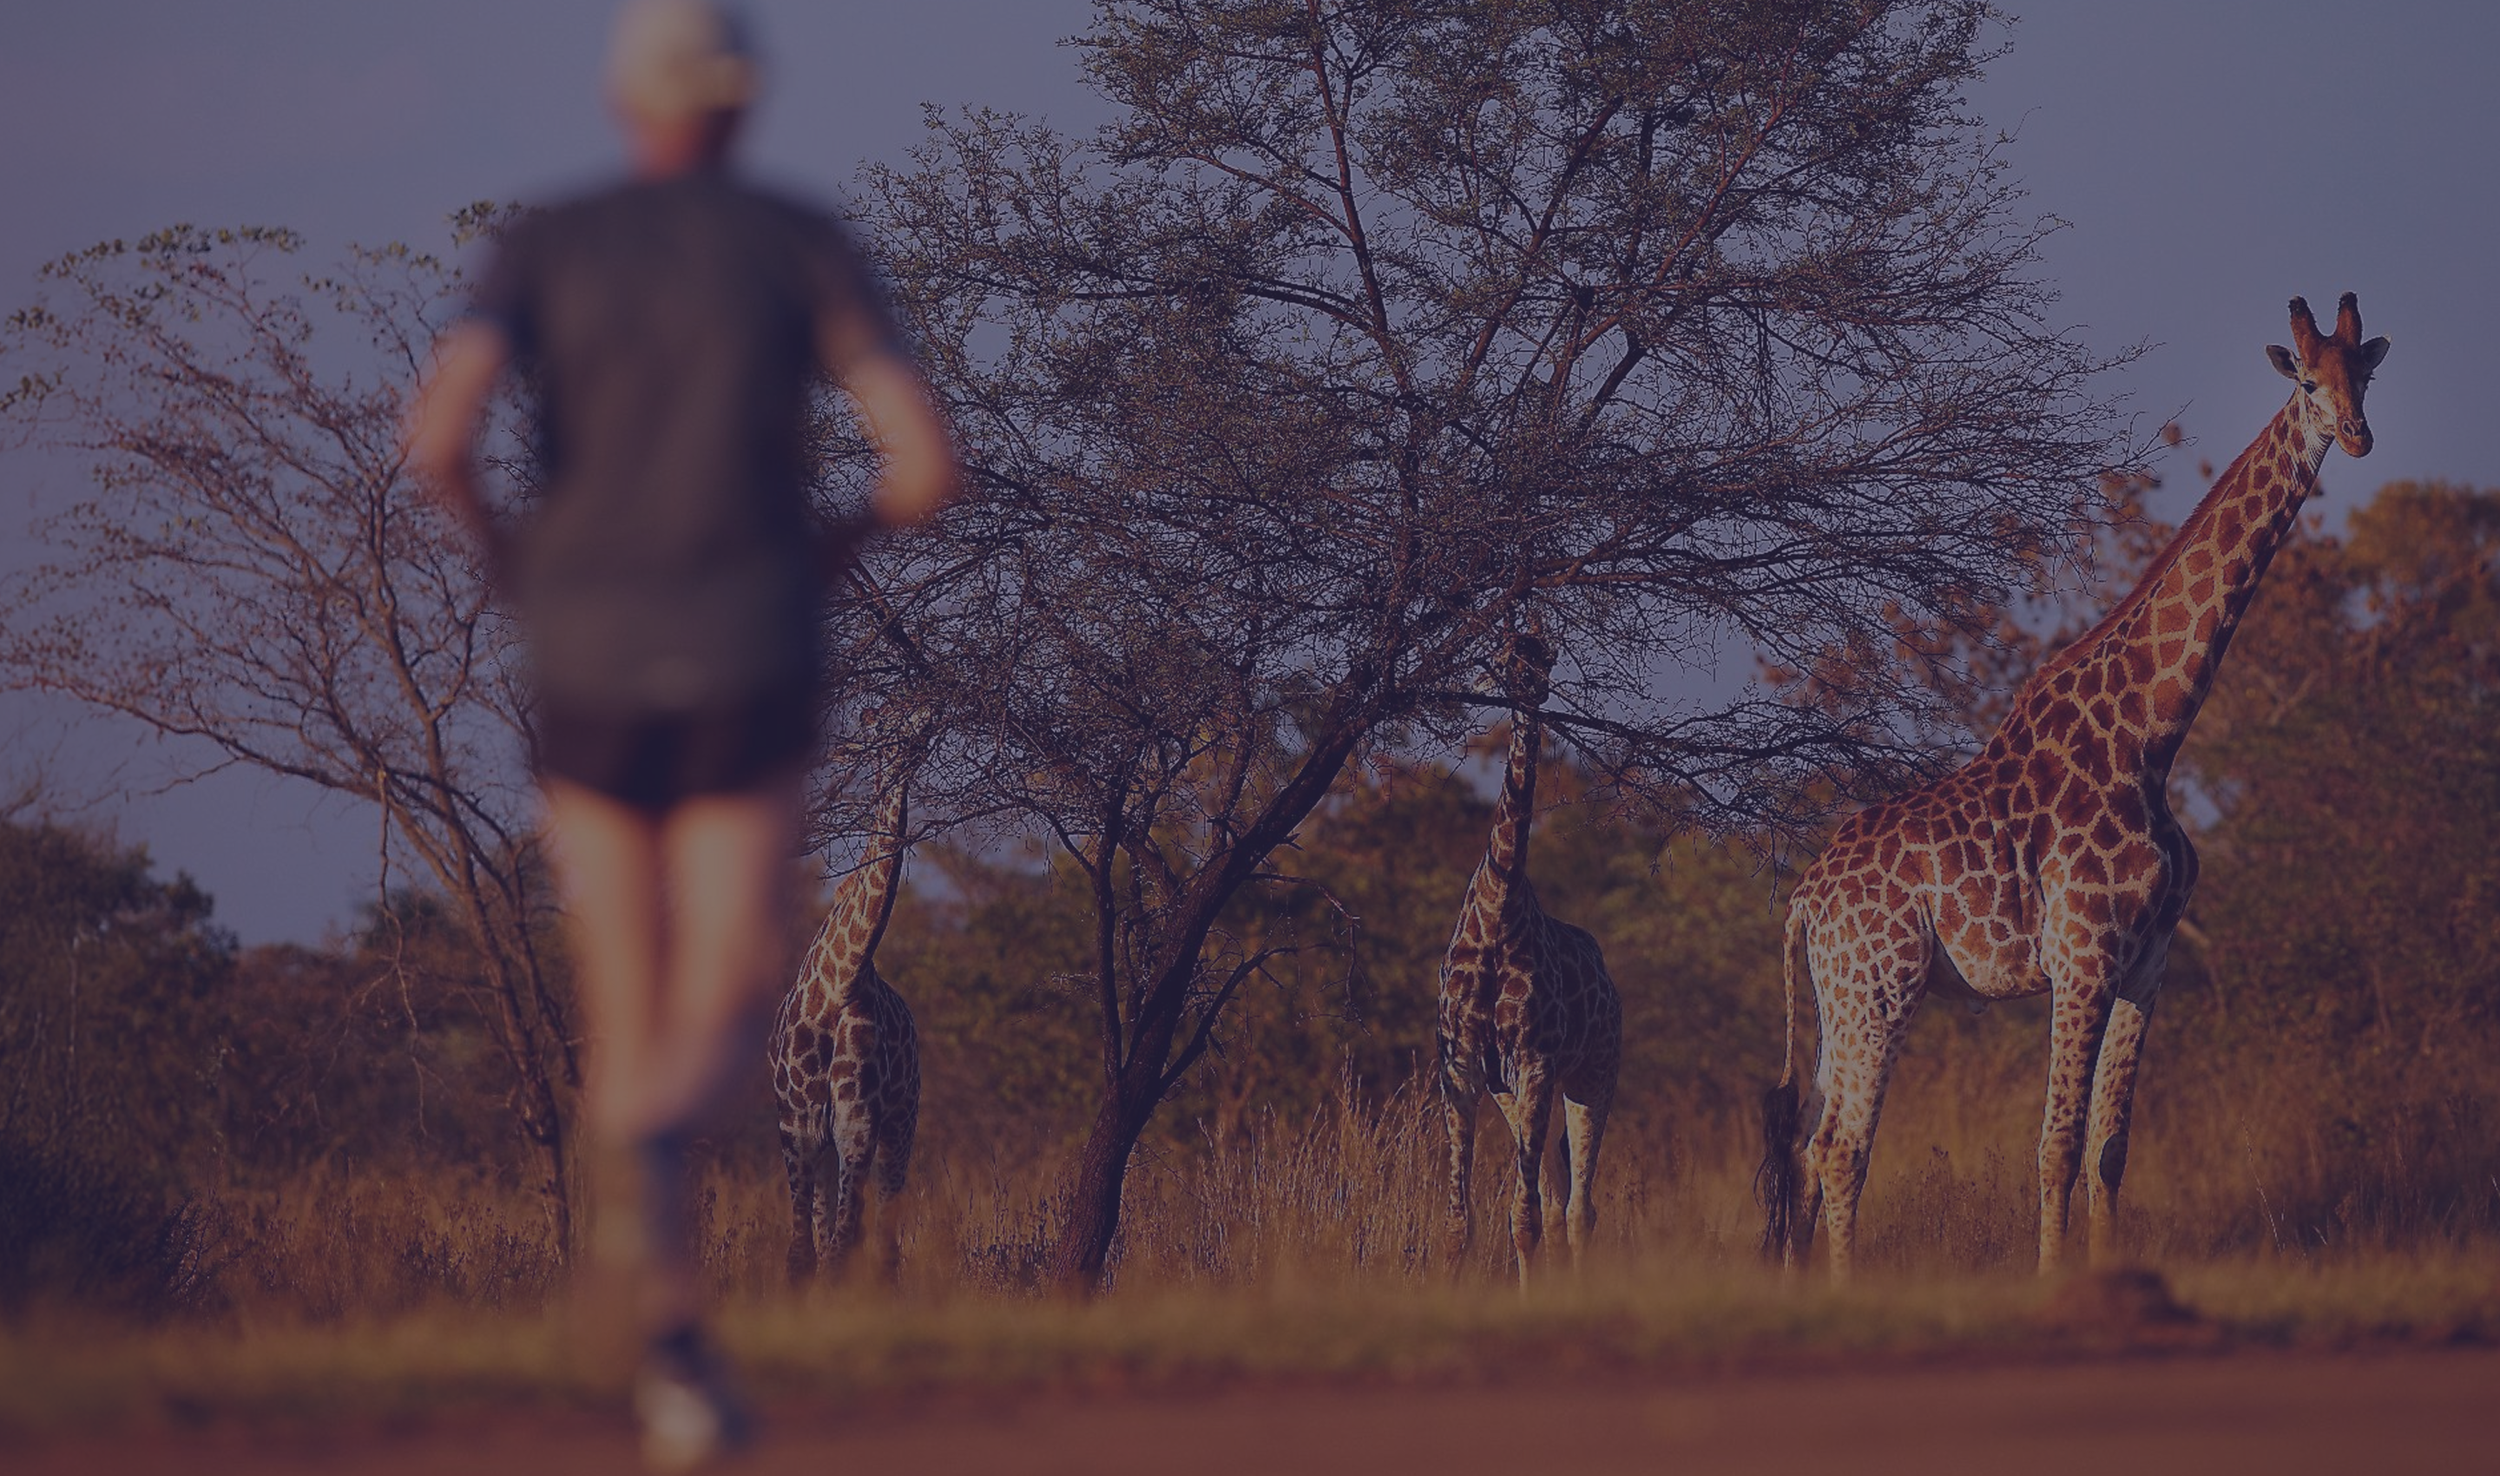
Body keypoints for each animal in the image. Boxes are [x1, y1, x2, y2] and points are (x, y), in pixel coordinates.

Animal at [770, 745, 923, 1283]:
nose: (920, 738)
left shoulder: (858, 1123)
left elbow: (840, 1249)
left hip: (900, 1121)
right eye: (888, 736)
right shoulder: (797, 1126)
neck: (839, 982)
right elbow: (802, 1253)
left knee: (881, 1240)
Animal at [1437, 626, 1624, 1285]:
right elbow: (1459, 1222)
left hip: (1594, 1074)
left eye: (1546, 659)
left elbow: (1526, 1218)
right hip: (1512, 1090)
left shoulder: (1540, 1059)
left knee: (1579, 1208)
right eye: (1506, 659)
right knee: (1556, 1188)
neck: (1499, 907)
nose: (1532, 692)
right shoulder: (1461, 1066)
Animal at [1759, 294, 2391, 1281]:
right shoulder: (2083, 955)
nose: (2357, 436)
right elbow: (2055, 1145)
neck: (2151, 736)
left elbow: (2109, 1149)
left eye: (2362, 374)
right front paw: (2057, 1287)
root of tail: (1806, 900)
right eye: (2307, 383)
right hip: (1880, 988)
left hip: (1842, 995)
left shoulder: (2149, 961)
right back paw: (1842, 1294)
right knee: (1840, 1148)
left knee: (1812, 1145)